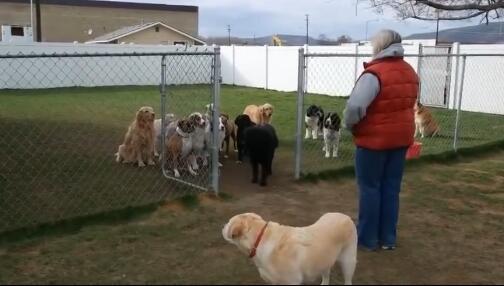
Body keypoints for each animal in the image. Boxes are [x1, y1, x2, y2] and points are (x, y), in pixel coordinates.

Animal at [221, 211, 358, 284]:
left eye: (228, 222)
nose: (223, 226)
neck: (260, 240)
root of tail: (345, 216)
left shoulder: (292, 282)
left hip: (348, 262)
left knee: (348, 281)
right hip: (324, 259)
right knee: (326, 276)